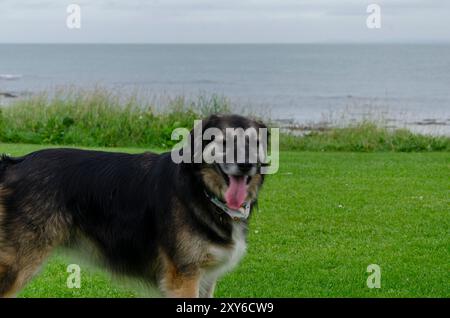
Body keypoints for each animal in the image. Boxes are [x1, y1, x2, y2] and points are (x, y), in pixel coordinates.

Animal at [0, 115, 268, 298]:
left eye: (254, 143)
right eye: (225, 142)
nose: (246, 164)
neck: (199, 189)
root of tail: (14, 164)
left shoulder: (205, 277)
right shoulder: (183, 277)